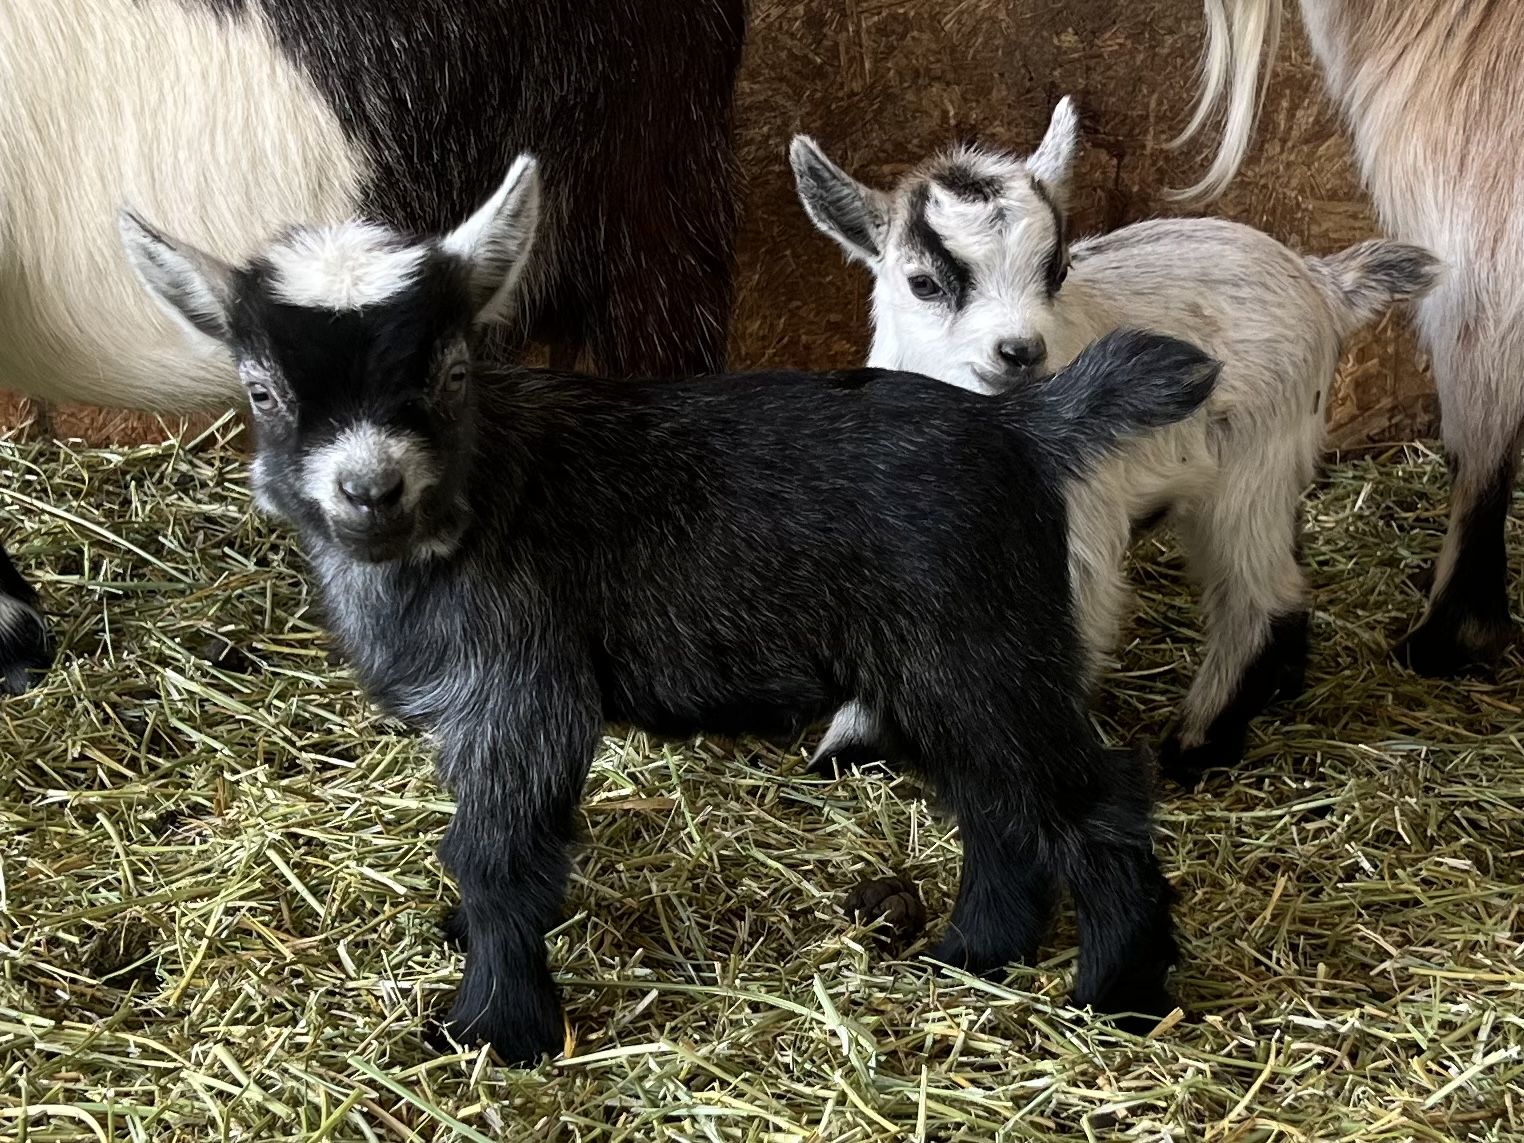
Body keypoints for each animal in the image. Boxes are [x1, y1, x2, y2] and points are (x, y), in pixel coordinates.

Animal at [121, 154, 1220, 1063]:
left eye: (451, 369)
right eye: (263, 389)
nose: (369, 490)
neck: (490, 492)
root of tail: (1025, 429)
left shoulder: (525, 691)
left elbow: (496, 853)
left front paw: (495, 1030)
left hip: (983, 651)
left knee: (1092, 798)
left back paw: (1118, 996)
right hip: (937, 670)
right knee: (997, 805)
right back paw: (975, 954)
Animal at [791, 98, 1439, 783]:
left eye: (1057, 270)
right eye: (924, 283)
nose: (1020, 351)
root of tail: (1323, 282)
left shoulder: (1075, 527)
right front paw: (847, 747)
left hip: (1252, 464)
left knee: (1257, 592)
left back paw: (1197, 744)